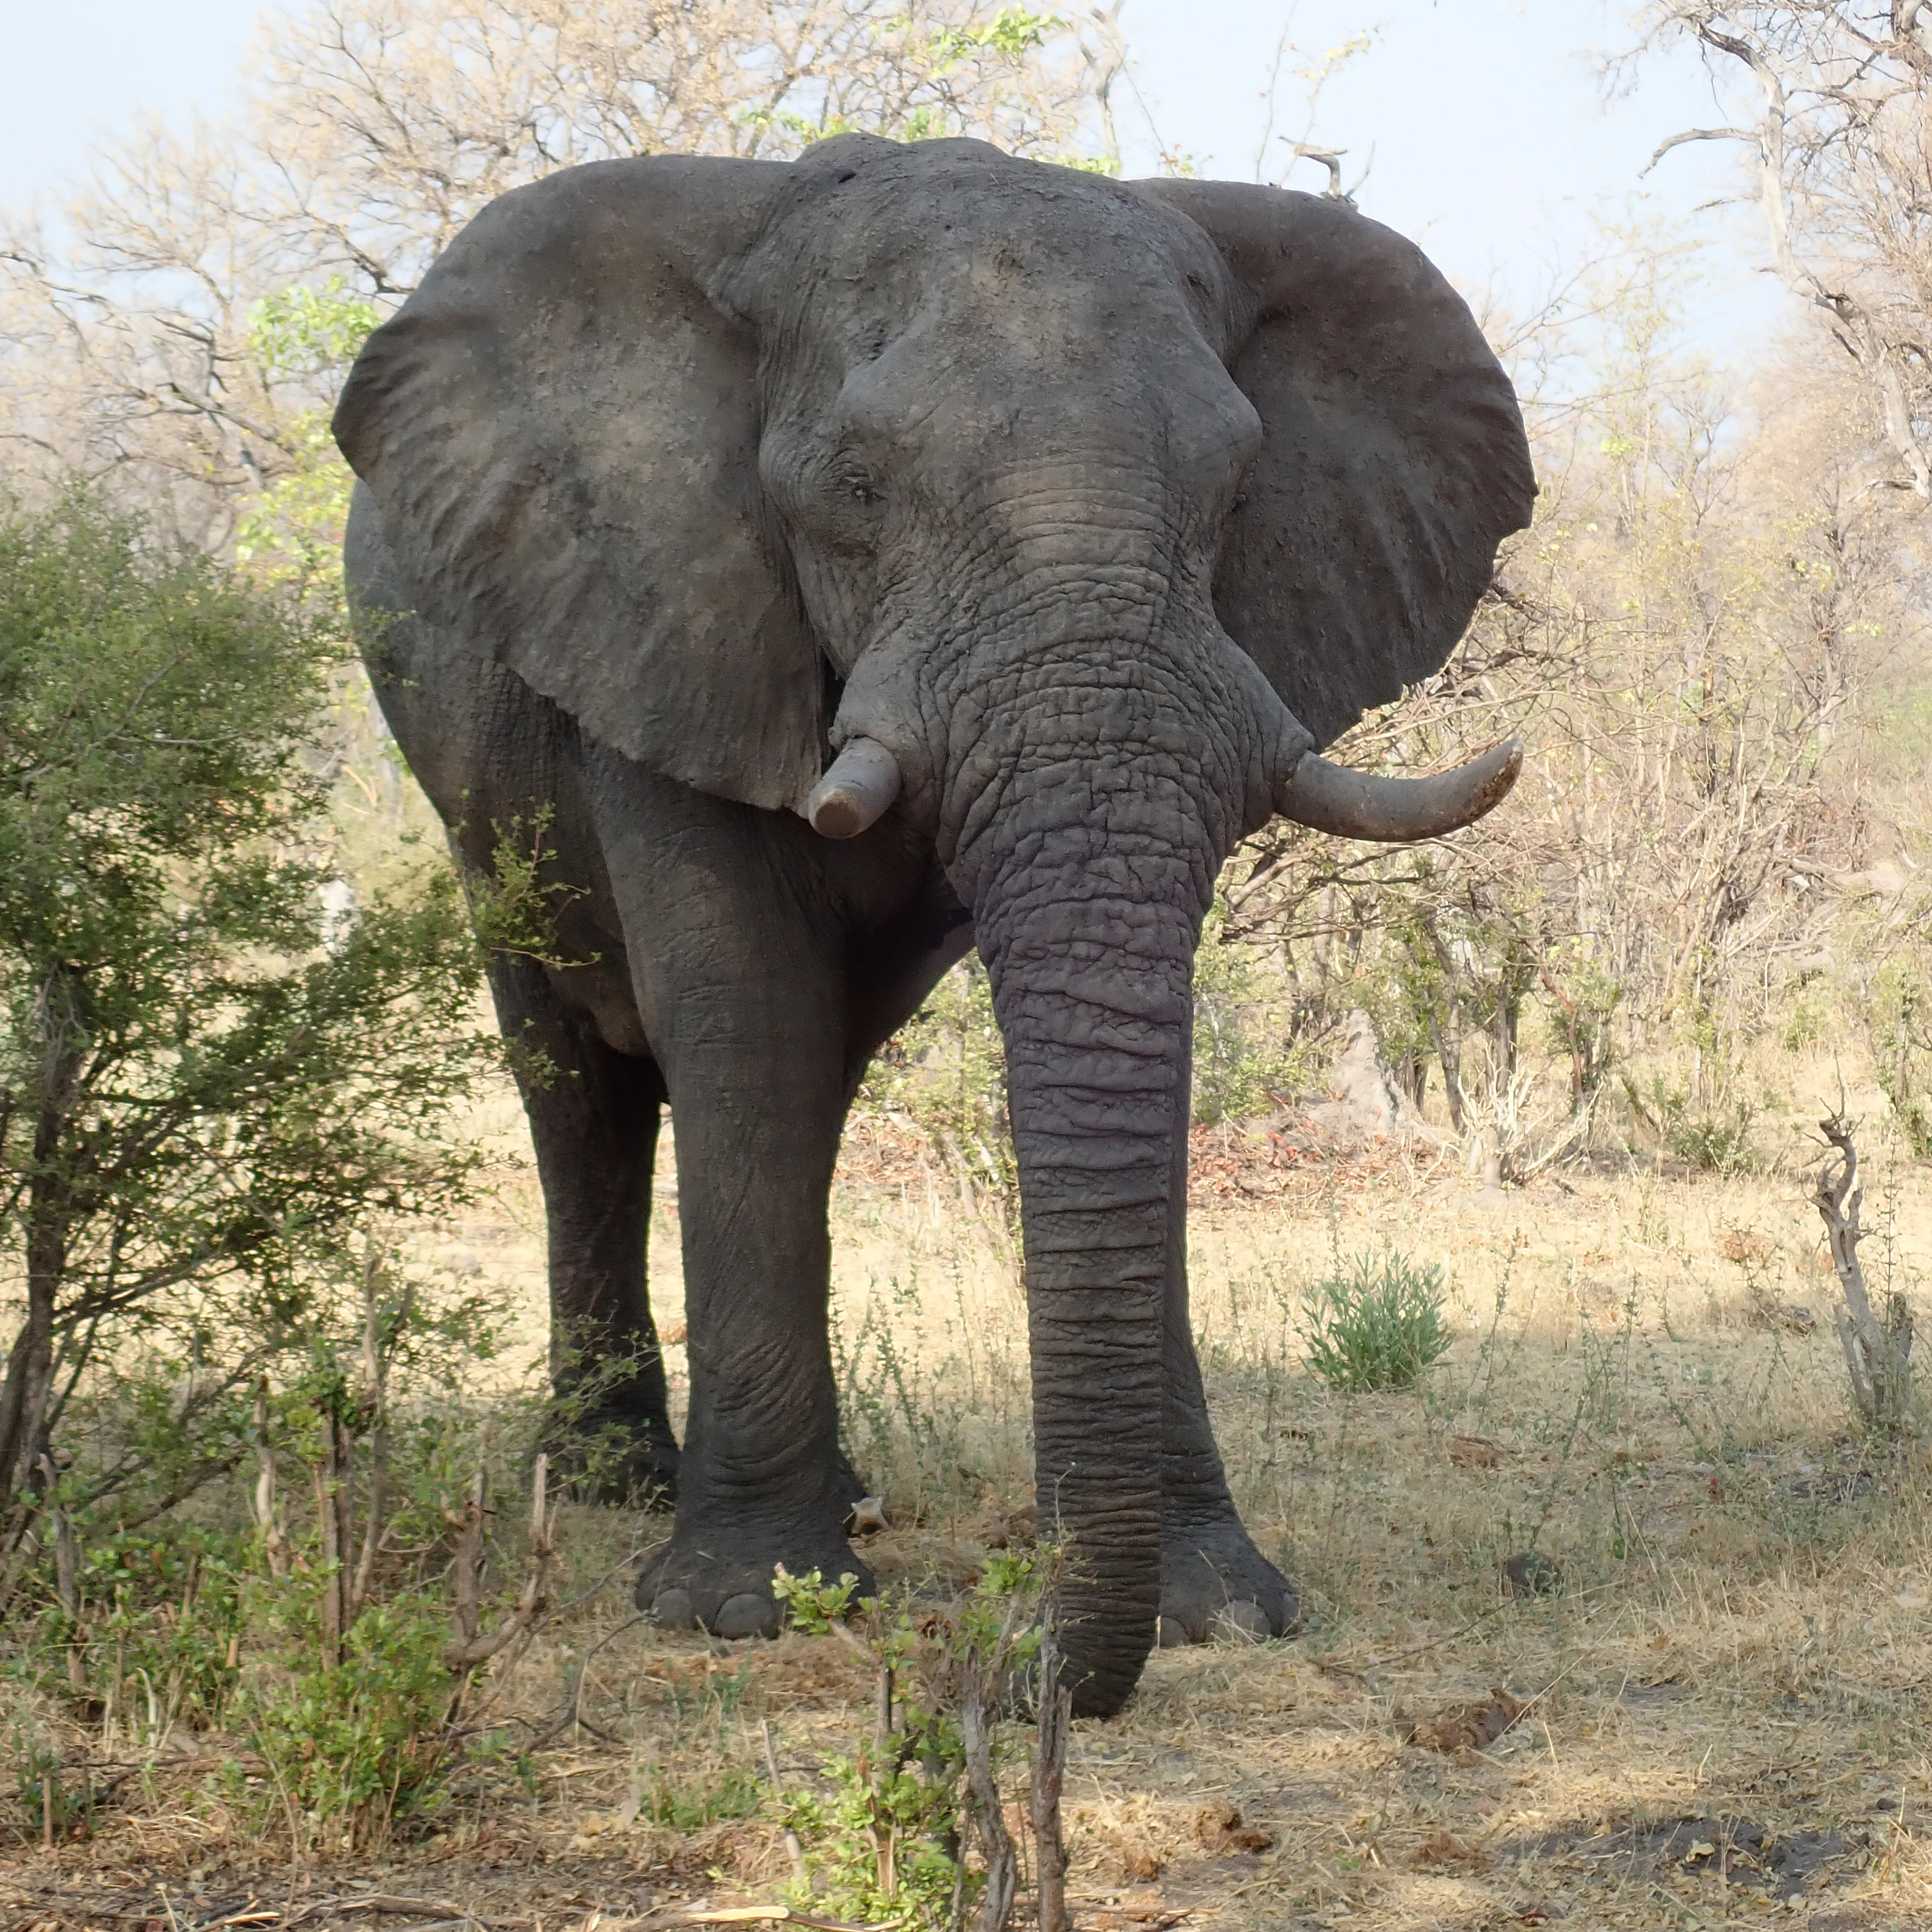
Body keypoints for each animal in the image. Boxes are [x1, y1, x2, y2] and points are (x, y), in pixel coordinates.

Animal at [331, 133, 1534, 1718]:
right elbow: (744, 1017)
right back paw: (613, 1478)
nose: (1026, 1668)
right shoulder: (674, 609)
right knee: (582, 1084)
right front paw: (745, 1609)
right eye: (855, 487)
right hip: (476, 797)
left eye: (1235, 495)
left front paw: (1223, 1607)